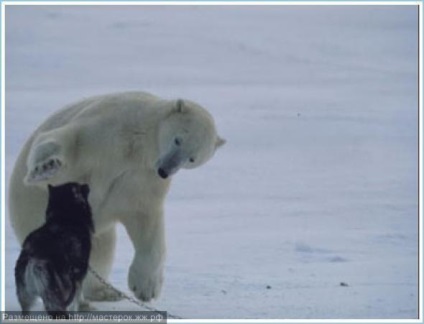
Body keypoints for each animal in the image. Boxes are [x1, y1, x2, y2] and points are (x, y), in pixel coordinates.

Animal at [8, 91, 224, 304]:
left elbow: (145, 220)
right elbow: (68, 142)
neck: (139, 143)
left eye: (192, 158)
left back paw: (104, 292)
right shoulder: (105, 129)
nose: (165, 170)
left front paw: (146, 288)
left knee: (101, 250)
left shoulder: (141, 177)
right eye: (178, 140)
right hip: (32, 215)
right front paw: (45, 167)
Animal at [15, 184, 94, 318]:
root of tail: (35, 260)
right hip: (58, 297)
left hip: (27, 300)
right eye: (78, 186)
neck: (63, 218)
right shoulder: (78, 278)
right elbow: (76, 303)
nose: (87, 185)